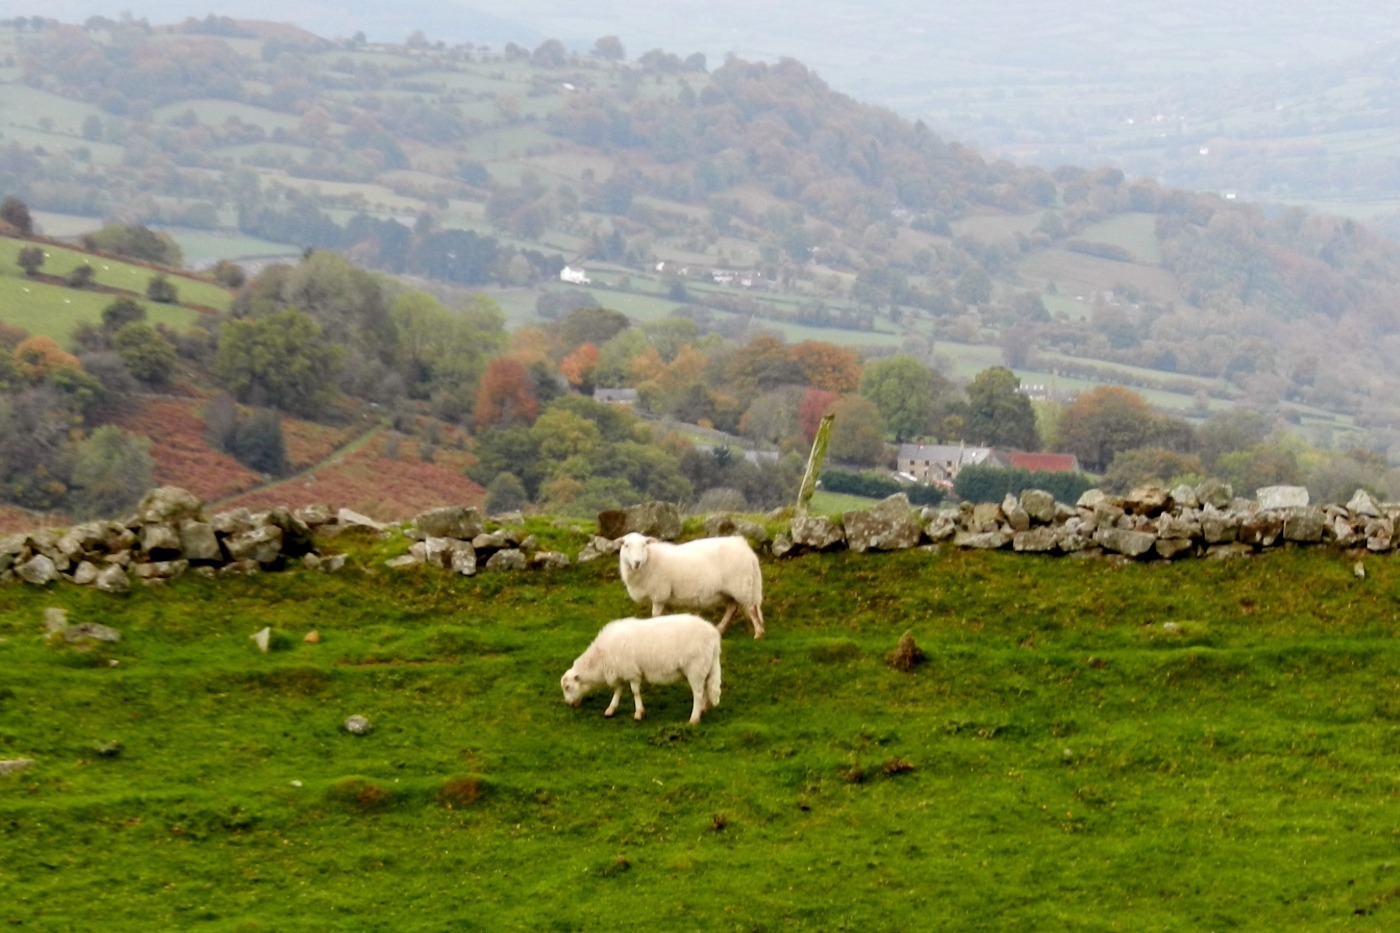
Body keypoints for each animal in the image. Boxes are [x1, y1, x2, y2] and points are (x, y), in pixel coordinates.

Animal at [560, 614, 722, 724]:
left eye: (568, 687)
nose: (568, 704)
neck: (601, 659)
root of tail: (713, 634)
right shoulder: (620, 671)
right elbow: (618, 690)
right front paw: (611, 709)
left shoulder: (631, 672)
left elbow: (635, 692)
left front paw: (639, 713)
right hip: (706, 667)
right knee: (706, 688)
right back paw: (702, 710)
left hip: (696, 668)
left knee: (698, 693)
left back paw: (694, 718)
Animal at [617, 532, 766, 638]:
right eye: (626, 545)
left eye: (644, 545)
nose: (637, 562)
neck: (650, 560)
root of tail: (744, 546)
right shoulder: (665, 596)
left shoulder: (659, 593)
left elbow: (655, 616)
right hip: (731, 590)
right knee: (732, 608)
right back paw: (720, 628)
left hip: (742, 586)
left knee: (752, 608)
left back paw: (758, 634)